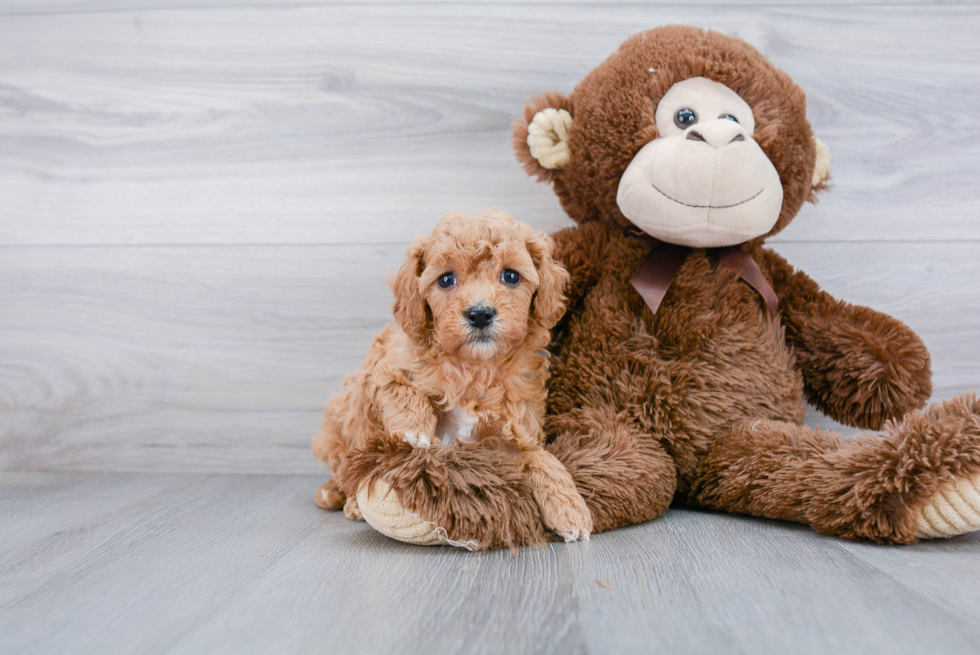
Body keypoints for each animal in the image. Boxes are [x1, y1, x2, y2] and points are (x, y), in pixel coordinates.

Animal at [310, 210, 592, 544]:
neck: (475, 367)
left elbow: (540, 458)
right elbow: (405, 391)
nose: (480, 313)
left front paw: (570, 507)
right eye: (446, 279)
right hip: (340, 422)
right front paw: (414, 432)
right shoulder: (387, 366)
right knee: (344, 467)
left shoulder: (511, 439)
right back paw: (342, 497)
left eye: (511, 276)